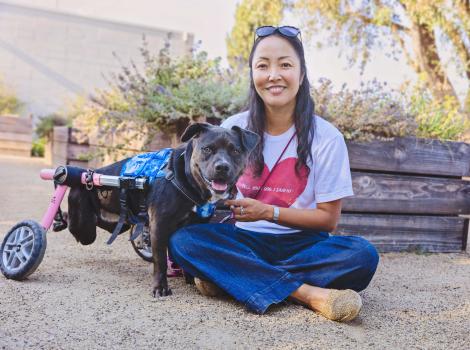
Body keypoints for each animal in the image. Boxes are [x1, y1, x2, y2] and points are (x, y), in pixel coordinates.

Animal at [63, 122, 258, 296]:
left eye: (235, 151)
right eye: (207, 149)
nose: (222, 167)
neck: (187, 181)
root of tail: (88, 175)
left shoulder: (190, 225)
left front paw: (189, 278)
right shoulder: (160, 226)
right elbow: (161, 261)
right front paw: (160, 288)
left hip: (117, 222)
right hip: (84, 227)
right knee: (76, 227)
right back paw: (60, 218)